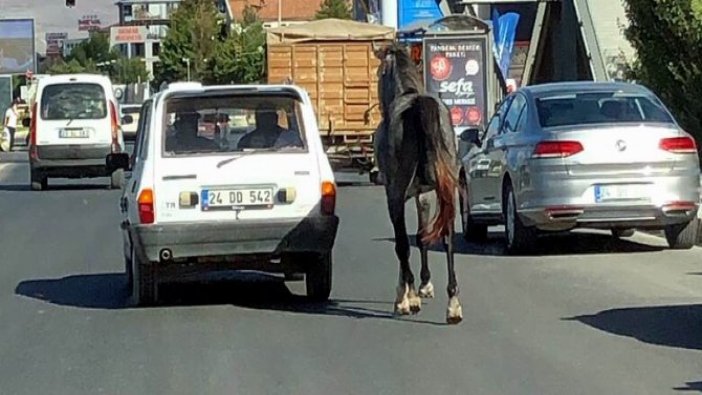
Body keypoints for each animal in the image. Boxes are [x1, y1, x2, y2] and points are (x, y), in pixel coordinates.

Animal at [374, 42, 468, 324]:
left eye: (379, 72)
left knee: (404, 244)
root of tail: (418, 104)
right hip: (446, 189)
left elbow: (402, 242)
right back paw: (453, 304)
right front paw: (425, 285)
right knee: (447, 237)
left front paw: (405, 294)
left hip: (397, 191)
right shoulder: (424, 194)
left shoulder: (394, 194)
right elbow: (423, 235)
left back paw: (413, 298)